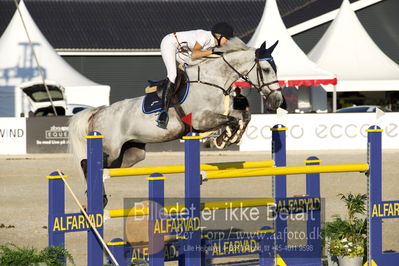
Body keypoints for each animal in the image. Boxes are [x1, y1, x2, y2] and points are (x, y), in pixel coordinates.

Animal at [69, 38, 282, 180]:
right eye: (266, 70)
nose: (277, 101)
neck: (212, 81)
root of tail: (98, 112)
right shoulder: (201, 119)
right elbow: (233, 120)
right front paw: (222, 139)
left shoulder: (220, 112)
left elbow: (243, 116)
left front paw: (229, 138)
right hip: (110, 147)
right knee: (87, 163)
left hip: (132, 153)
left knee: (110, 167)